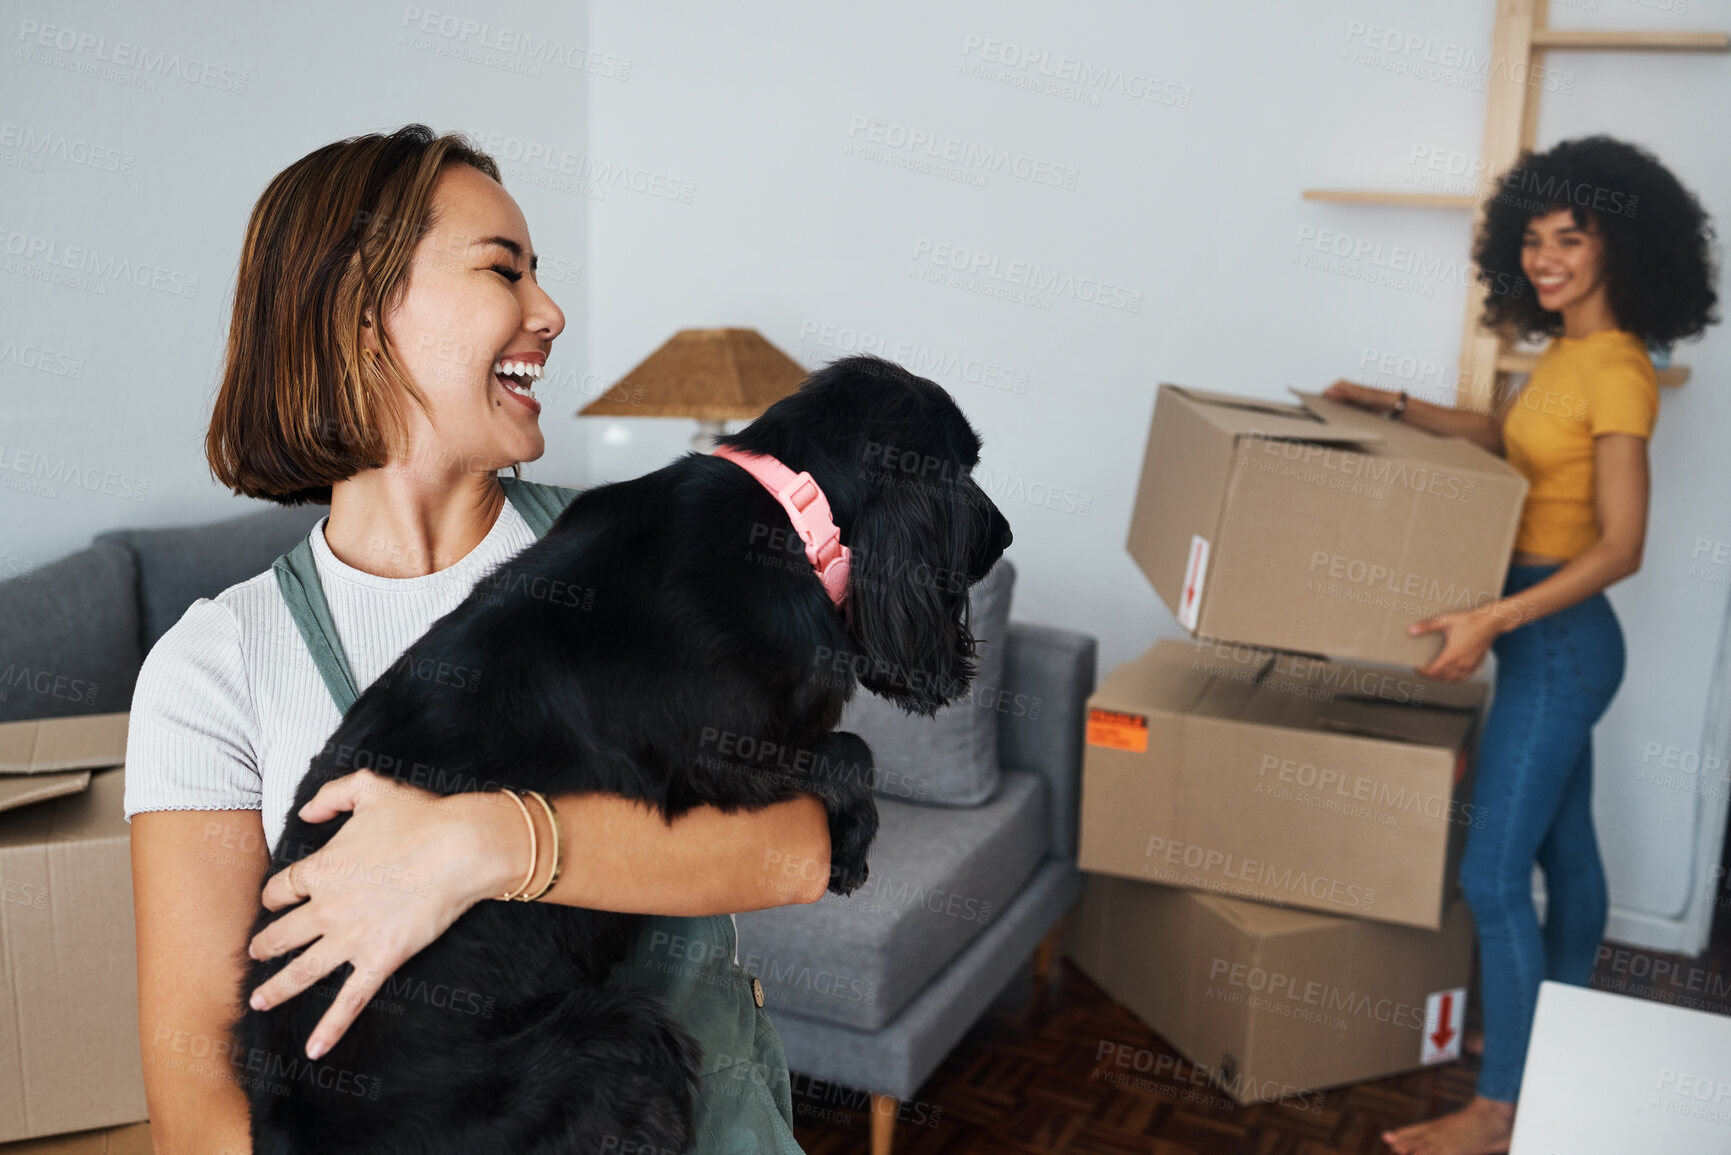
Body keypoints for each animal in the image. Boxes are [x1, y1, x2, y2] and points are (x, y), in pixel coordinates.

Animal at [231, 356, 1010, 1149]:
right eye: (963, 468)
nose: (1006, 536)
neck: (786, 514)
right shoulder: (717, 755)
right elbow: (851, 752)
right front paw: (851, 848)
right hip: (609, 1041)